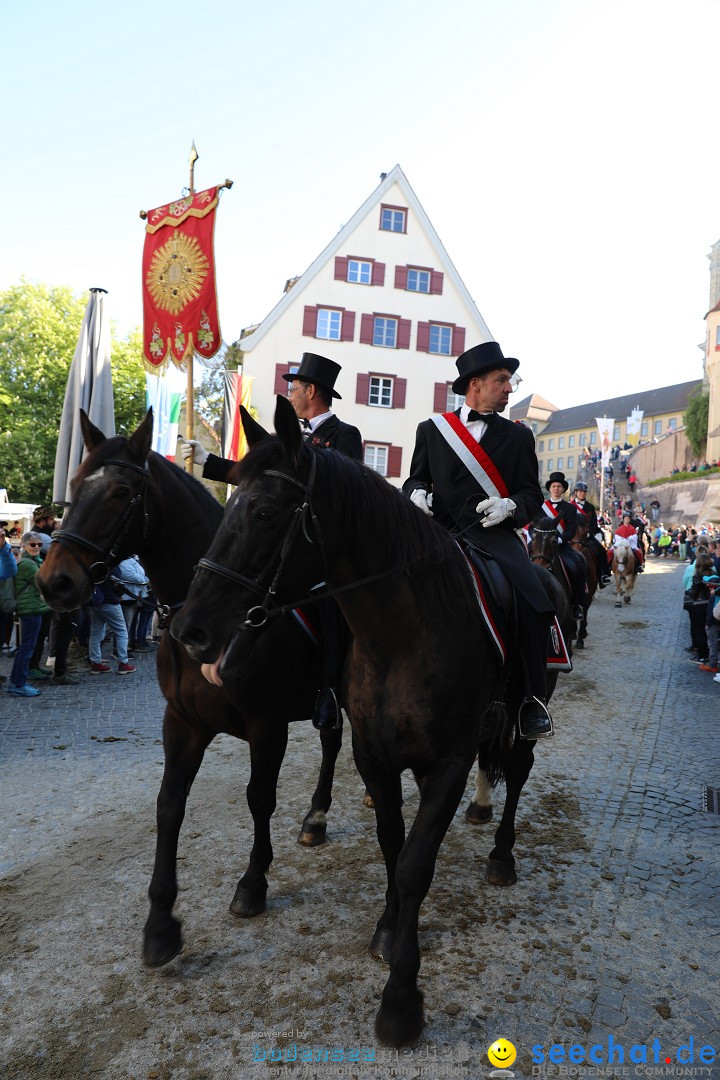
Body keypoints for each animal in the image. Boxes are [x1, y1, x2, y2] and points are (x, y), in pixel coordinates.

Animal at [35, 410, 345, 972]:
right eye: (73, 487)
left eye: (121, 492)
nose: (54, 583)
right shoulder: (183, 724)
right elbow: (169, 805)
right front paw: (160, 925)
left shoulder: (267, 727)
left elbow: (259, 798)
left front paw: (253, 883)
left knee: (333, 744)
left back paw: (318, 815)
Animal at [170, 397, 569, 1045]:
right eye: (227, 504)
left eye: (263, 512)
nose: (188, 630)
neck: (401, 635)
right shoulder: (374, 755)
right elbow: (392, 843)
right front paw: (387, 928)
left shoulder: (451, 761)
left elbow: (414, 864)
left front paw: (401, 1000)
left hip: (525, 715)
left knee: (518, 772)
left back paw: (502, 856)